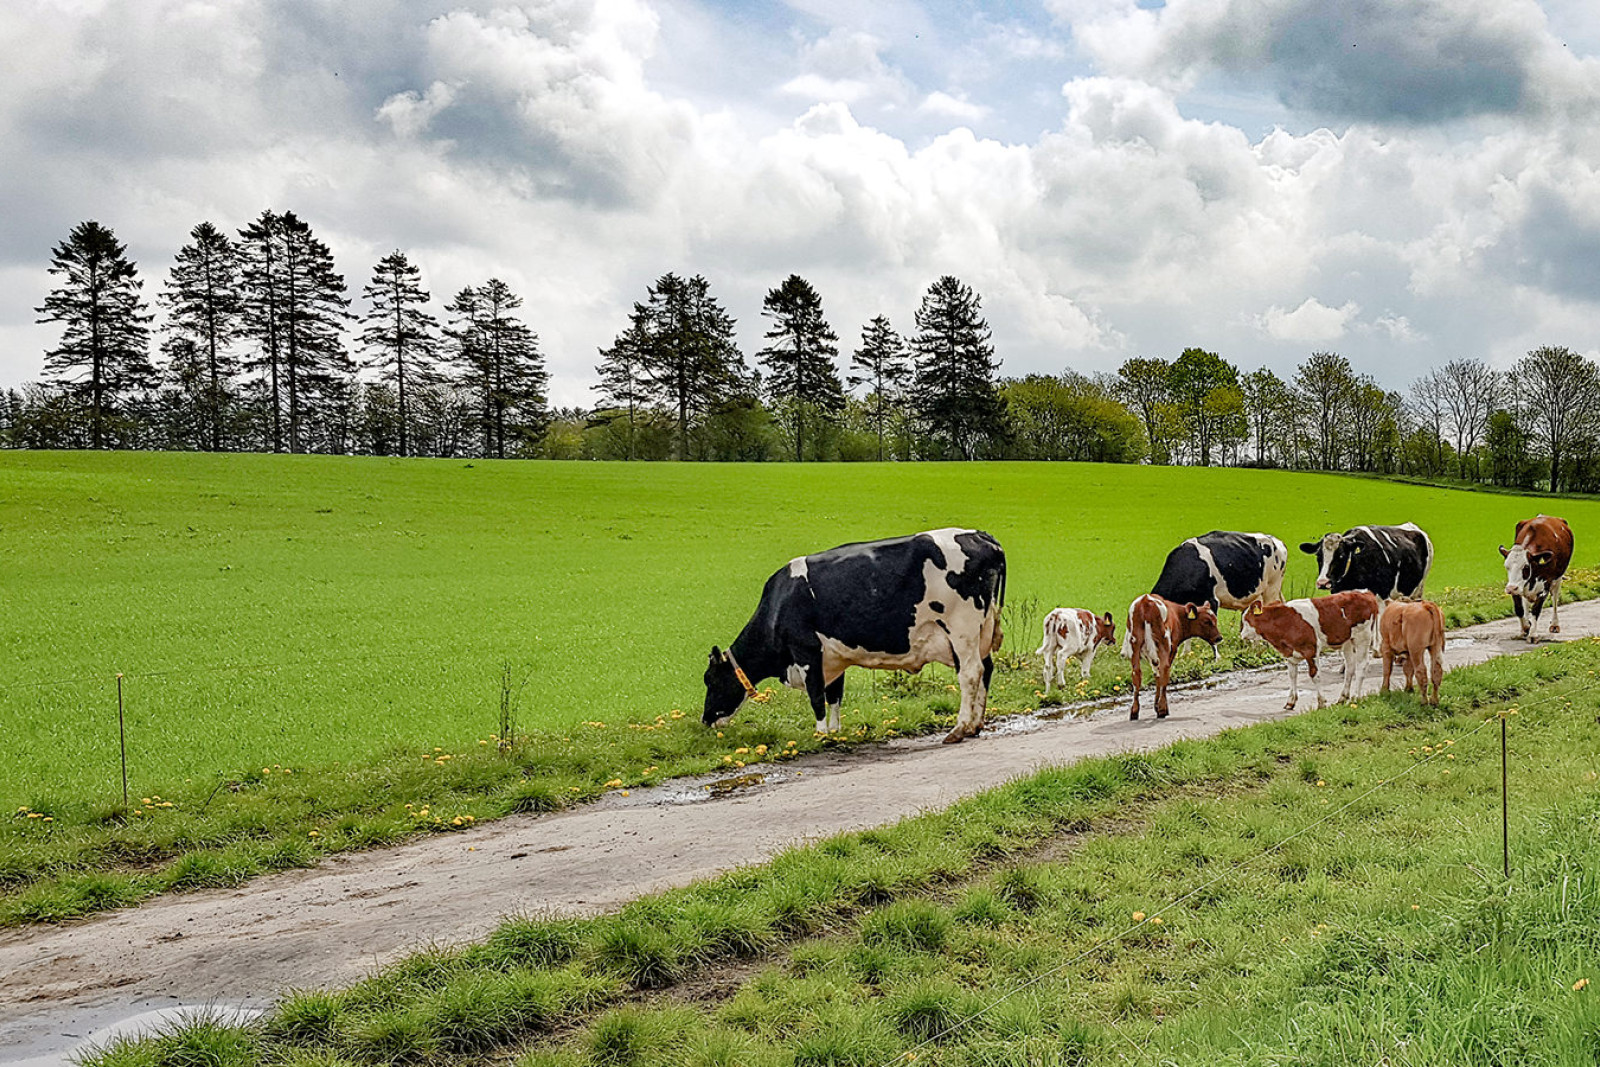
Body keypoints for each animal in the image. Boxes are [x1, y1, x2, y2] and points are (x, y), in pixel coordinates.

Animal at [707, 531, 1004, 748]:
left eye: (710, 680)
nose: (705, 720)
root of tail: (981, 536)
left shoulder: (806, 651)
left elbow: (816, 697)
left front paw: (820, 735)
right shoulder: (833, 658)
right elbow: (834, 696)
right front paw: (835, 732)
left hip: (961, 628)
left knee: (970, 673)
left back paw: (960, 728)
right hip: (981, 631)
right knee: (986, 669)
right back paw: (975, 725)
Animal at [1241, 591, 1382, 710]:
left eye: (1245, 620)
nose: (1241, 635)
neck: (1285, 621)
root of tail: (1365, 593)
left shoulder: (1311, 649)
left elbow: (1315, 675)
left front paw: (1321, 703)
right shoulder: (1290, 653)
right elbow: (1292, 675)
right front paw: (1290, 701)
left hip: (1363, 637)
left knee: (1361, 666)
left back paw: (1356, 697)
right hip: (1348, 641)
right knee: (1350, 667)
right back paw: (1342, 697)